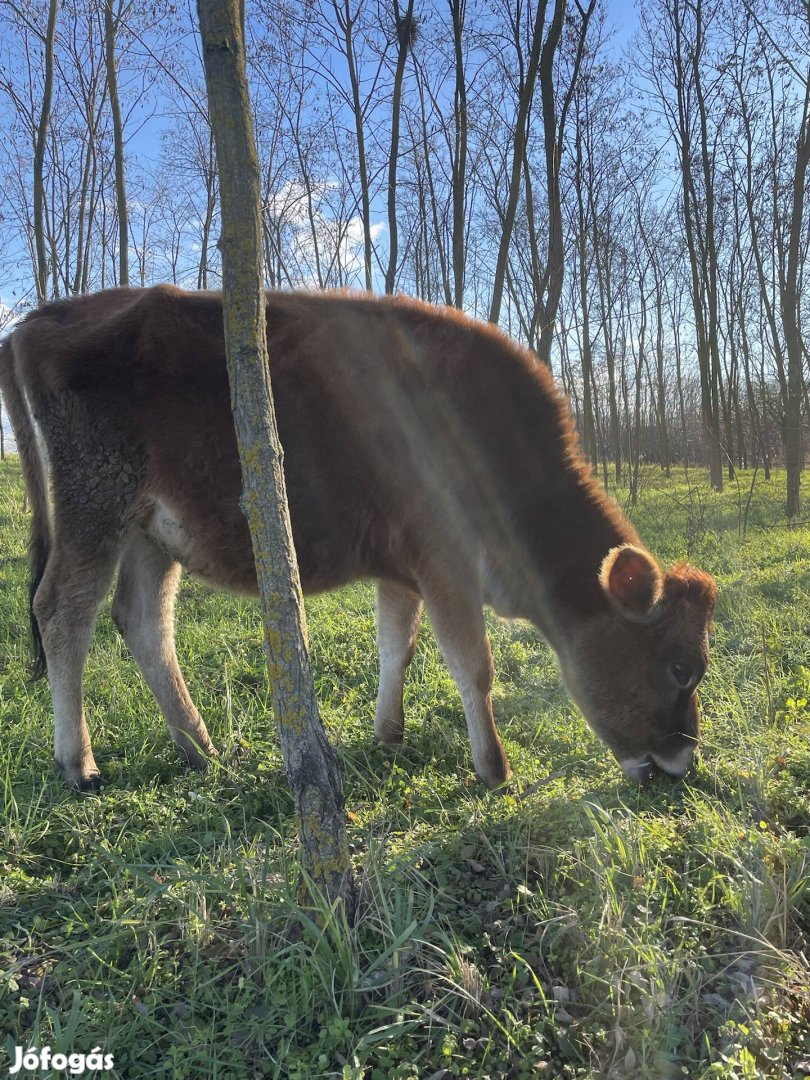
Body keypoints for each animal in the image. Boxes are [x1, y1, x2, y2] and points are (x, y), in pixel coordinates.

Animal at [0, 287, 721, 794]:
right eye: (680, 666)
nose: (682, 759)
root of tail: (36, 322)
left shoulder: (402, 572)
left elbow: (397, 647)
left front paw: (388, 733)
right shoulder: (447, 565)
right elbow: (472, 663)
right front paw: (493, 769)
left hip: (152, 533)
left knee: (144, 621)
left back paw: (200, 748)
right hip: (94, 510)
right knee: (62, 612)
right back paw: (80, 763)